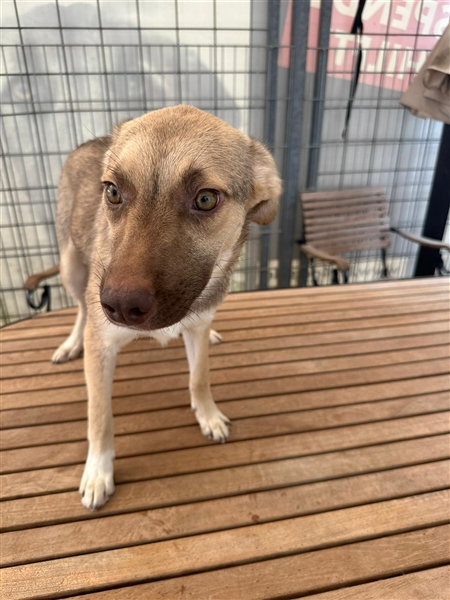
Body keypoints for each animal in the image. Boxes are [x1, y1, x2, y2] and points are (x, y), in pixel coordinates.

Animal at [25, 105, 281, 510]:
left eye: (205, 199)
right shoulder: (101, 345)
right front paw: (98, 472)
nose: (119, 305)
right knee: (81, 308)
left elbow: (199, 376)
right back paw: (71, 342)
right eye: (112, 192)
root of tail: (91, 141)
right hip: (71, 267)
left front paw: (207, 414)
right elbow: (99, 416)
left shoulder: (196, 326)